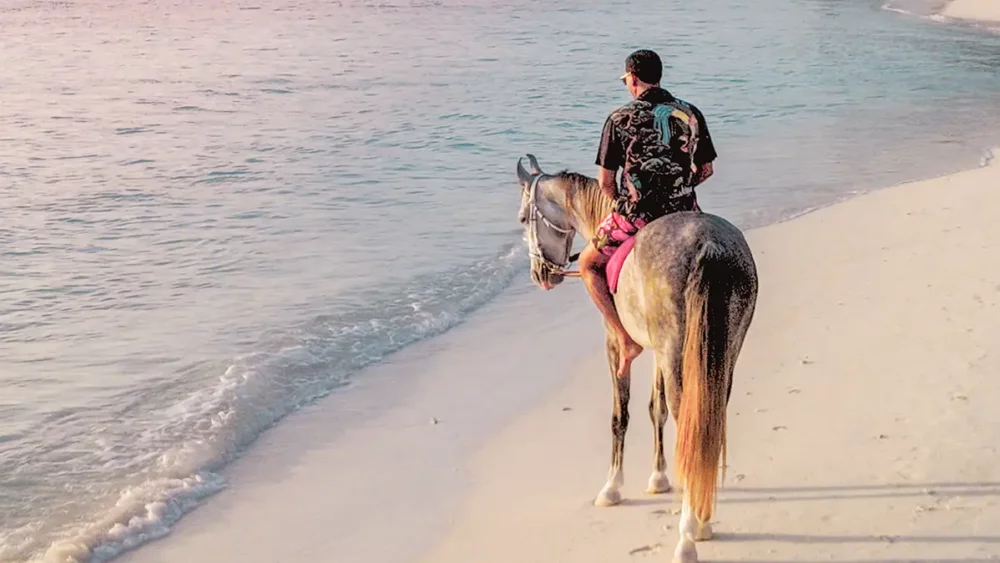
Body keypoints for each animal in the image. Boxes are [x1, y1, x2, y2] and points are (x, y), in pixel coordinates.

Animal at [515, 154, 759, 563]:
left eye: (522, 219)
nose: (540, 274)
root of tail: (708, 244)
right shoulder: (661, 352)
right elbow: (654, 409)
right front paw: (658, 477)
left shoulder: (615, 344)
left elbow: (621, 415)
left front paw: (612, 486)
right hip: (721, 351)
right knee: (707, 418)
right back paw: (701, 516)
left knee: (686, 420)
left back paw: (688, 534)